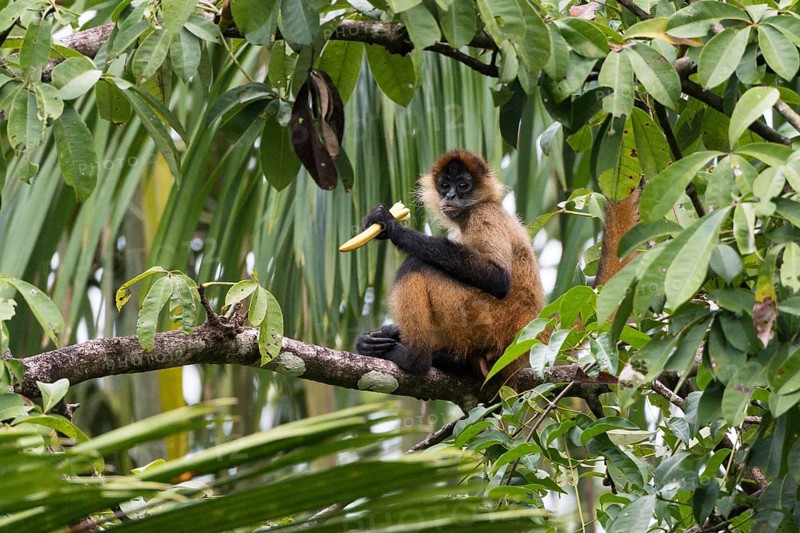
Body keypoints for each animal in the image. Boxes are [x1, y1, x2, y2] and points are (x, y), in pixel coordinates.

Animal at [355, 150, 545, 379]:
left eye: (463, 185)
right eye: (444, 185)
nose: (450, 196)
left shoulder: (484, 214)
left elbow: (499, 280)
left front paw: (392, 227)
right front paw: (379, 336)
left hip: (484, 317)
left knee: (416, 264)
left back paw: (415, 359)